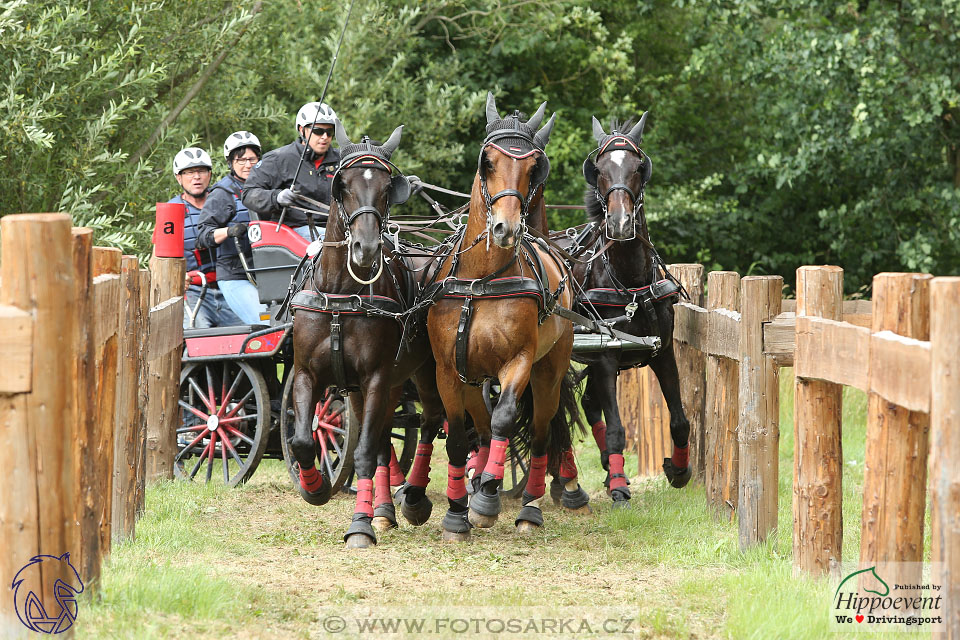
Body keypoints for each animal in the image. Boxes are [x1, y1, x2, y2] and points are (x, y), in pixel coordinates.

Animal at [286, 121, 448, 552]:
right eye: (342, 185)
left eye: (387, 188)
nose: (366, 249)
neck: (341, 293)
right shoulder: (308, 374)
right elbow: (304, 440)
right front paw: (314, 487)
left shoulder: (375, 376)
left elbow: (361, 452)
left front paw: (360, 525)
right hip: (374, 387)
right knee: (383, 441)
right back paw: (385, 510)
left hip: (420, 372)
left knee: (429, 419)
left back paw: (412, 500)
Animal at [426, 91, 584, 540]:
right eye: (489, 162)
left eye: (533, 168)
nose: (505, 229)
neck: (481, 279)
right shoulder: (449, 370)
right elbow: (458, 439)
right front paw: (456, 514)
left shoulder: (519, 362)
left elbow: (506, 419)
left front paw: (485, 502)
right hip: (472, 379)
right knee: (479, 429)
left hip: (548, 372)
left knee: (542, 432)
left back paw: (528, 506)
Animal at [568, 116, 692, 504]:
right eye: (599, 170)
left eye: (639, 167)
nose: (620, 223)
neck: (630, 281)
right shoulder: (606, 358)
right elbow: (617, 428)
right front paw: (621, 485)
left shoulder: (662, 352)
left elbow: (679, 420)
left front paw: (679, 470)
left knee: (590, 403)